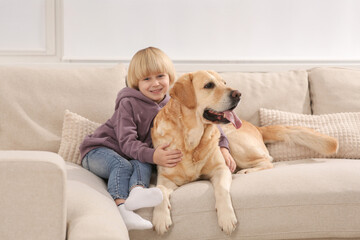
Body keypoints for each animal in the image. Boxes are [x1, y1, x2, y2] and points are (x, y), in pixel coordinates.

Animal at [150, 70, 338, 235]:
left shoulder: (221, 169)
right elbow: (159, 190)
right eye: (209, 85)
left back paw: (247, 171)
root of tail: (256, 127)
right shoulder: (165, 178)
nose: (238, 94)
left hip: (235, 141)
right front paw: (160, 219)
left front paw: (226, 218)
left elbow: (222, 190)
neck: (191, 141)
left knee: (267, 161)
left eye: (224, 82)